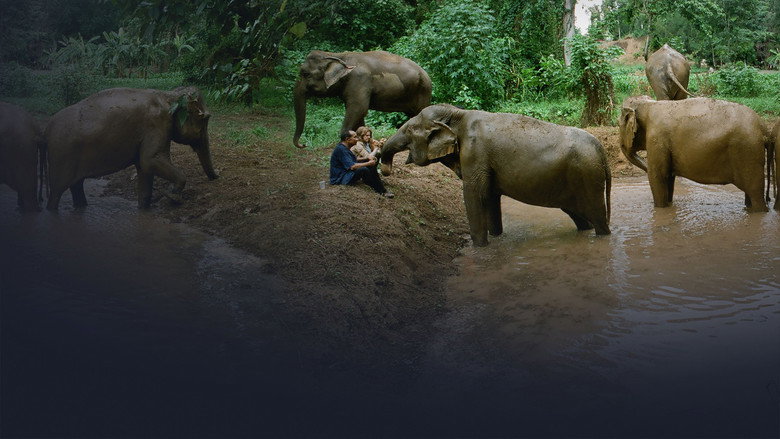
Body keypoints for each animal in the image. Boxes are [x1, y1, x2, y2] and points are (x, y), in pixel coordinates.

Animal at [45, 86, 218, 210]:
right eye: (204, 119)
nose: (216, 177)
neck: (168, 95)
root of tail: (48, 126)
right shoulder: (157, 125)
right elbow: (150, 160)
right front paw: (173, 196)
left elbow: (145, 168)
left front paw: (144, 209)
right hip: (61, 154)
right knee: (57, 191)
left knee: (76, 185)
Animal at [293, 50, 432, 149]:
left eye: (305, 74)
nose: (304, 144)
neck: (336, 55)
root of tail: (426, 74)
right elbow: (358, 113)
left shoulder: (359, 80)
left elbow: (358, 109)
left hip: (423, 91)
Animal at [380, 104, 611, 246]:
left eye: (409, 131)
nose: (385, 169)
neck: (457, 114)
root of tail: (601, 148)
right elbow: (490, 197)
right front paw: (497, 238)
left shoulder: (474, 154)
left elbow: (474, 195)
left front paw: (480, 248)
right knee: (579, 216)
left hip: (588, 176)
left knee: (598, 217)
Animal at [619, 95, 773, 212]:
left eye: (620, 124)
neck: (649, 104)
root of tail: (764, 127)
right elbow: (668, 176)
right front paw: (669, 206)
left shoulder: (657, 138)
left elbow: (659, 175)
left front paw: (661, 209)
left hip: (747, 151)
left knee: (755, 192)